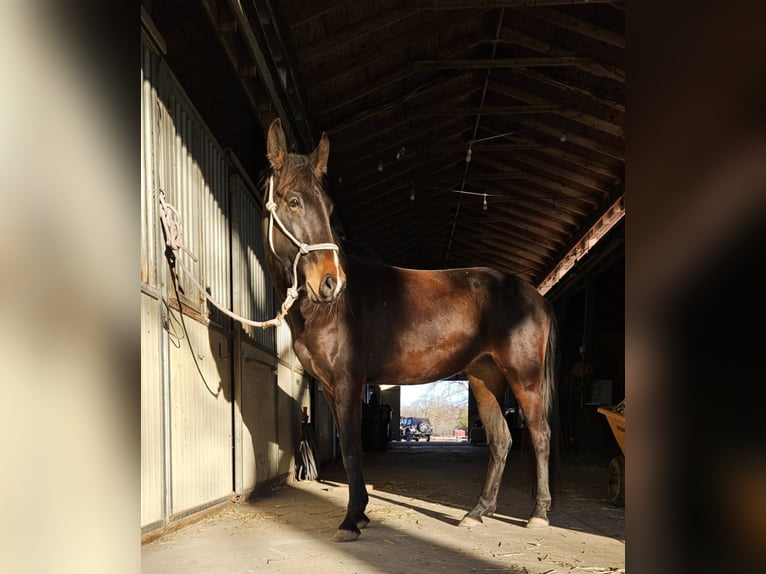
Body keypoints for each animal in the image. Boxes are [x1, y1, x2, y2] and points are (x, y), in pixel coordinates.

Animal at [260, 118, 558, 542]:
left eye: (328, 207)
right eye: (293, 201)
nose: (332, 283)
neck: (329, 310)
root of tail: (535, 295)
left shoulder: (348, 381)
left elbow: (352, 449)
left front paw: (351, 520)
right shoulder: (333, 387)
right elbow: (350, 448)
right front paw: (361, 514)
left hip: (524, 376)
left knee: (539, 434)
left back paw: (539, 515)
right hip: (484, 375)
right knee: (501, 439)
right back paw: (477, 513)